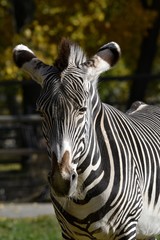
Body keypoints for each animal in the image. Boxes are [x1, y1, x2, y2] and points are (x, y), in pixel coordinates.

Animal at [12, 39, 160, 240]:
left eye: (82, 110)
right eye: (40, 113)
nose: (61, 180)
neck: (82, 194)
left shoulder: (127, 227)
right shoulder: (68, 232)